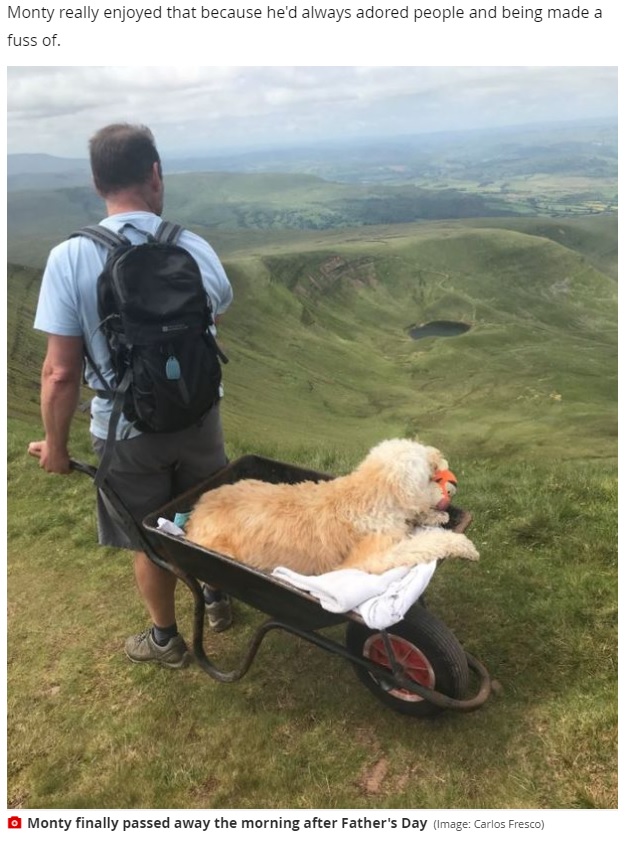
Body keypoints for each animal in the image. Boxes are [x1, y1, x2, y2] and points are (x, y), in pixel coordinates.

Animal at [185, 440, 480, 572]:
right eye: (431, 473)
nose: (453, 479)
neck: (370, 497)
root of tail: (194, 512)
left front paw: (437, 517)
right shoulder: (371, 558)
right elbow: (424, 543)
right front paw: (463, 545)